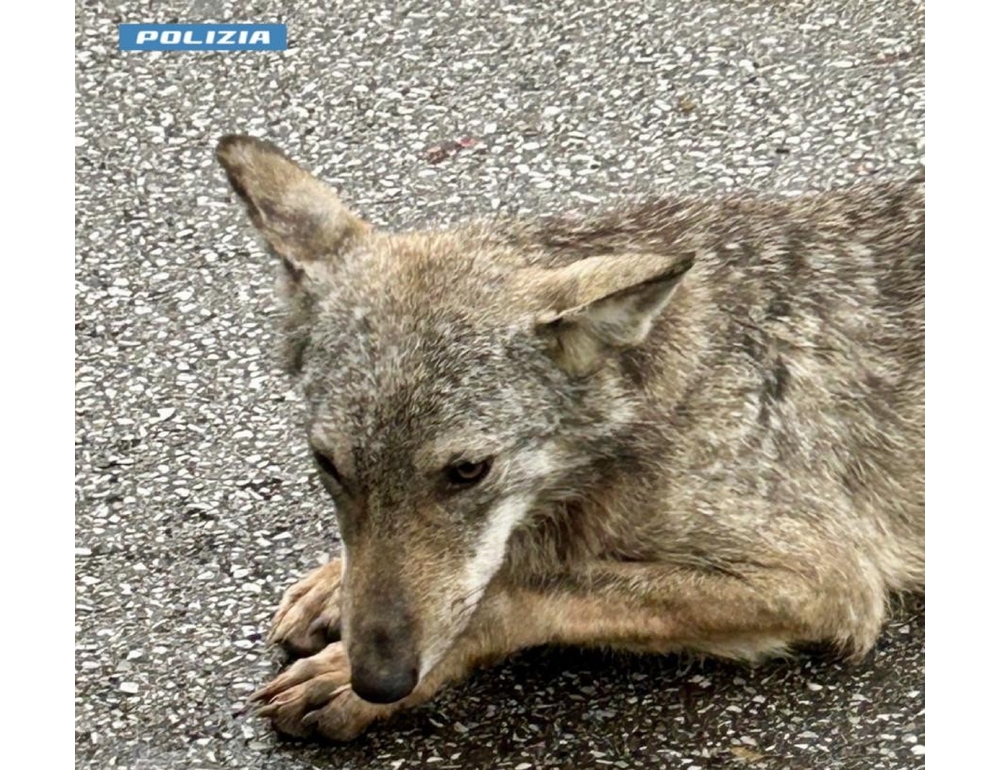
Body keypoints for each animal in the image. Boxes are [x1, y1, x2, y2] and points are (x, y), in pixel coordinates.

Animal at [216, 134, 924, 742]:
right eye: (329, 465)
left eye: (469, 470)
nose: (378, 680)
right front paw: (334, 584)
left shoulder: (824, 581)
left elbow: (521, 594)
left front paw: (353, 676)